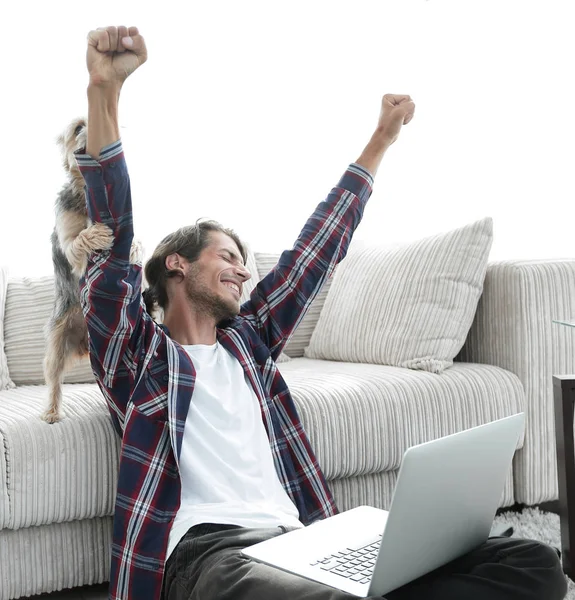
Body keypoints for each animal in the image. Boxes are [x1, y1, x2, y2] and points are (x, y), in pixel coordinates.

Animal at [41, 117, 143, 424]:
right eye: (77, 128)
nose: (94, 133)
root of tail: (83, 343)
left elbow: (136, 240)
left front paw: (133, 248)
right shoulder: (67, 239)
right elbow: (77, 241)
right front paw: (96, 233)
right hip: (57, 342)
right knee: (54, 379)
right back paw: (52, 411)